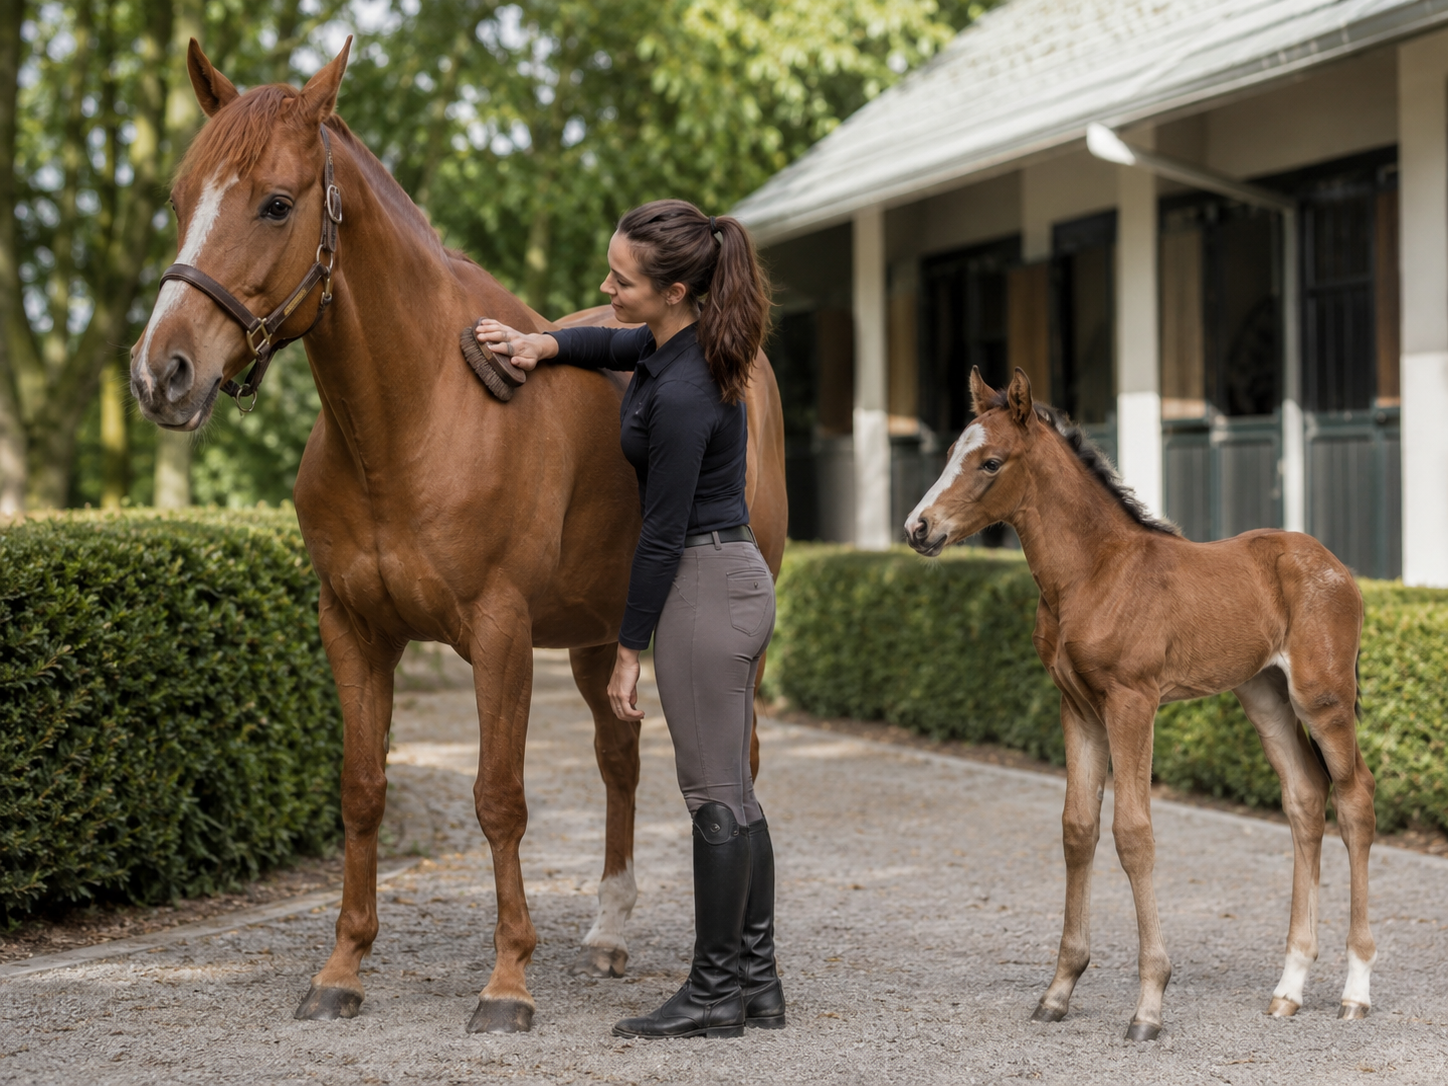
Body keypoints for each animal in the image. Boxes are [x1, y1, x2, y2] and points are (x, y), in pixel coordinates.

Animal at [127, 39, 787, 1034]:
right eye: (178, 198)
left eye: (276, 203)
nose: (161, 374)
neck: (415, 415)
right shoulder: (354, 630)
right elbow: (362, 791)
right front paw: (342, 968)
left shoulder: (500, 634)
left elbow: (499, 800)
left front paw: (507, 982)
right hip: (601, 638)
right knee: (620, 760)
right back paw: (609, 933)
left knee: (733, 767)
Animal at [904, 367, 1375, 1041]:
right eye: (948, 454)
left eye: (991, 462)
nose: (918, 528)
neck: (1093, 573)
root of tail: (1335, 566)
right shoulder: (1076, 706)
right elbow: (1078, 828)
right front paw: (1059, 990)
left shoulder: (1132, 701)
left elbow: (1133, 832)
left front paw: (1149, 1004)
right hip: (1264, 695)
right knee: (1306, 797)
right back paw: (1288, 988)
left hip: (1323, 696)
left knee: (1355, 798)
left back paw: (1356, 990)